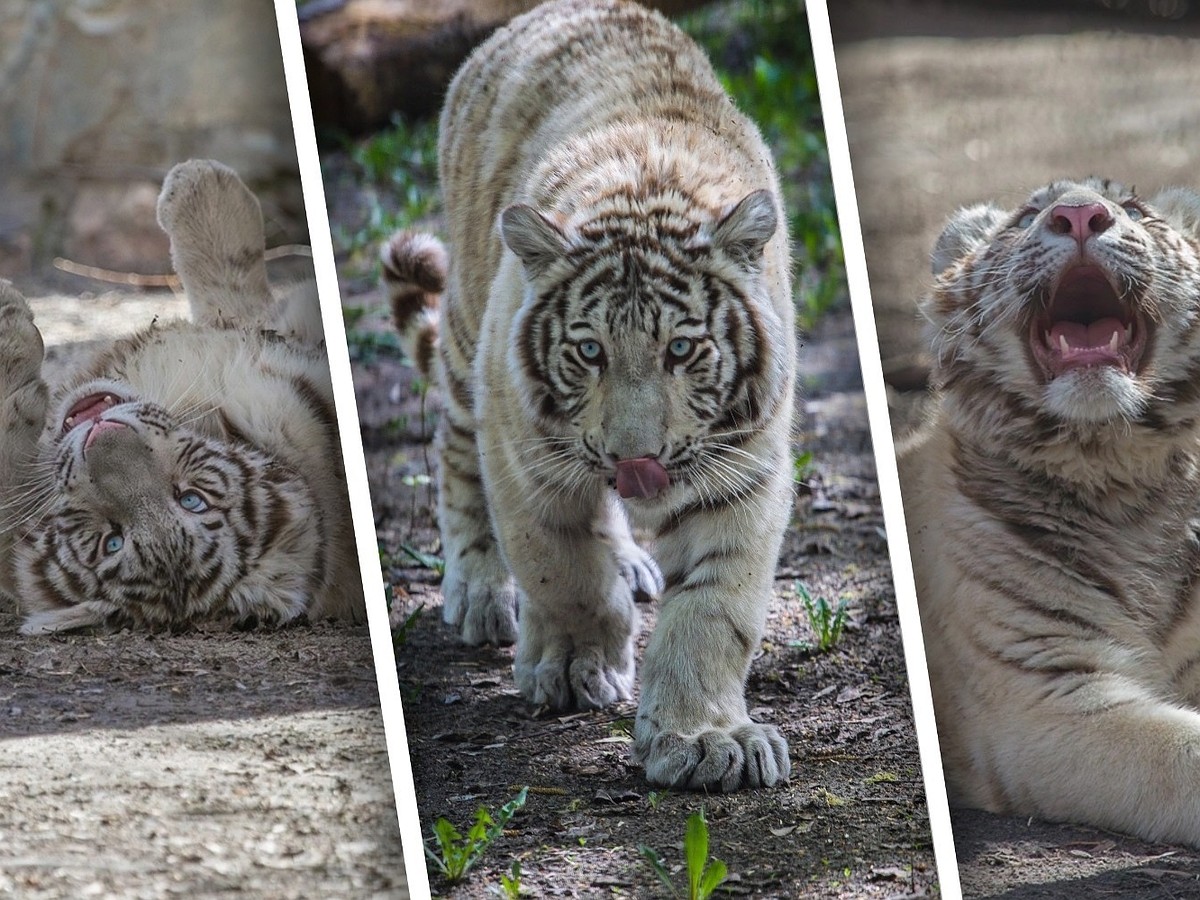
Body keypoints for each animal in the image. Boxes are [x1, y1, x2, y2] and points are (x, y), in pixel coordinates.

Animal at [384, 0, 796, 787]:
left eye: (680, 349)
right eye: (588, 351)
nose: (636, 458)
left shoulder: (746, 469)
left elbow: (715, 609)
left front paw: (703, 739)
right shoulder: (523, 452)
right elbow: (561, 568)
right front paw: (576, 669)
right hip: (467, 340)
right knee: (454, 451)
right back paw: (478, 591)